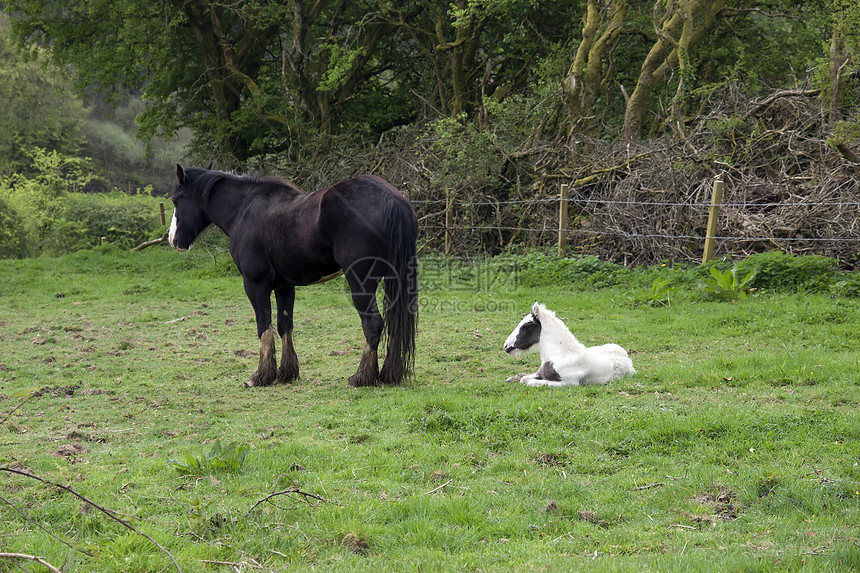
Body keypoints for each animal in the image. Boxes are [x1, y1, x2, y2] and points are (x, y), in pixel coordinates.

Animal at [167, 166, 416, 388]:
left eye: (176, 200)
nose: (173, 239)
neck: (245, 209)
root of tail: (390, 199)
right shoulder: (284, 286)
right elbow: (284, 325)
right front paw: (286, 373)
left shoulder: (255, 285)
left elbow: (264, 326)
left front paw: (261, 376)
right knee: (395, 322)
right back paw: (389, 375)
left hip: (360, 283)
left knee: (373, 324)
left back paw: (362, 377)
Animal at [500, 302, 636, 386]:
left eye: (526, 326)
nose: (506, 346)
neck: (561, 355)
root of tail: (629, 361)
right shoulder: (540, 373)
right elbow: (524, 378)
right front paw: (513, 378)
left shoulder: (570, 383)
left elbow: (530, 382)